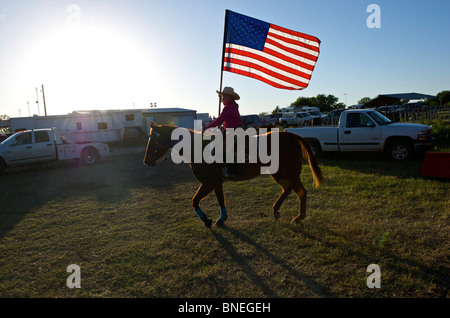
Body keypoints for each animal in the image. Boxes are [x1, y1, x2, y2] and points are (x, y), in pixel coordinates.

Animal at [144, 122, 324, 229]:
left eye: (153, 139)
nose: (146, 161)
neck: (199, 148)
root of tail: (291, 135)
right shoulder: (216, 183)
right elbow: (220, 199)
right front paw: (221, 218)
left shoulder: (209, 183)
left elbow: (195, 200)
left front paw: (207, 219)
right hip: (278, 173)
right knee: (287, 189)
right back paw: (276, 211)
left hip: (291, 173)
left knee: (301, 192)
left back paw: (299, 217)